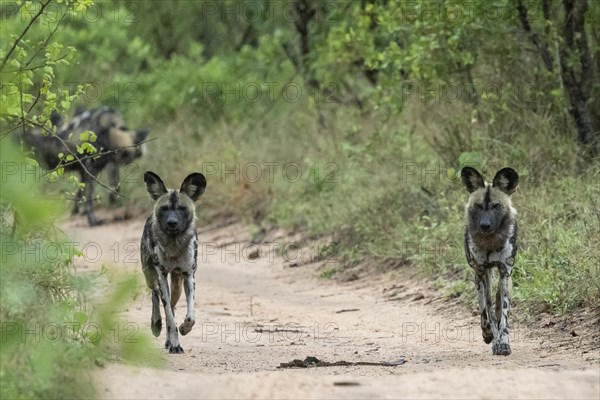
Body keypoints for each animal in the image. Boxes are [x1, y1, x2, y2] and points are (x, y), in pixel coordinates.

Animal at [141, 171, 209, 354]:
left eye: (182, 208)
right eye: (164, 209)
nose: (172, 222)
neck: (174, 245)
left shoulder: (189, 276)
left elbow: (190, 317)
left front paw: (184, 329)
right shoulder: (162, 276)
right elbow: (170, 317)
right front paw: (175, 344)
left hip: (177, 286)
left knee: (170, 305)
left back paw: (168, 339)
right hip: (151, 277)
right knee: (156, 296)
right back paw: (156, 324)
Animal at [462, 167, 516, 354]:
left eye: (496, 206)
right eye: (478, 206)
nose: (485, 225)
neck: (490, 243)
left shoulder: (505, 272)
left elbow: (504, 314)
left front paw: (503, 342)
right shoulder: (480, 273)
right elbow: (486, 311)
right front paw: (489, 335)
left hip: (503, 277)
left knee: (499, 302)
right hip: (483, 276)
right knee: (488, 305)